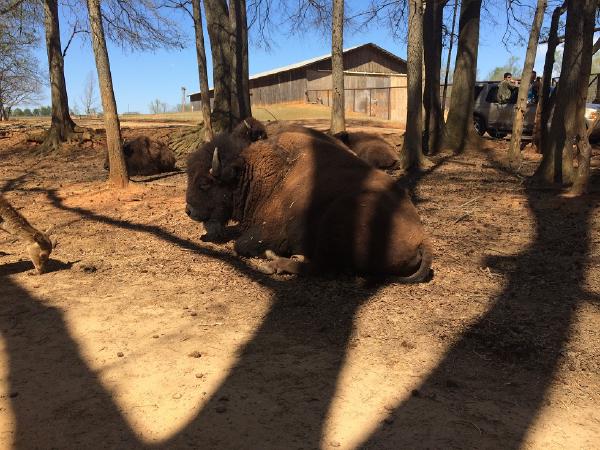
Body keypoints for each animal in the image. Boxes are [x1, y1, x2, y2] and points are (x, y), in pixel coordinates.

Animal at [185, 119, 428, 282]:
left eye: (205, 183)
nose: (189, 210)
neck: (253, 174)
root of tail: (421, 240)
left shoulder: (268, 233)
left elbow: (241, 245)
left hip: (338, 219)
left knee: (322, 267)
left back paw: (275, 262)